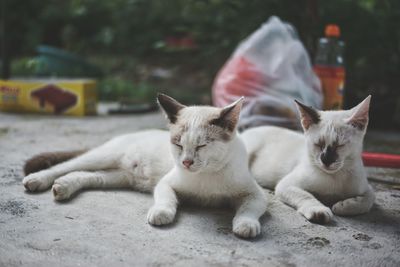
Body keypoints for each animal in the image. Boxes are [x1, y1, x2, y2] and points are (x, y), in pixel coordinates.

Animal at [241, 96, 376, 224]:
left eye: (339, 145)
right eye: (318, 145)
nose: (326, 160)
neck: (334, 177)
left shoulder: (366, 187)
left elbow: (368, 201)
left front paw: (344, 206)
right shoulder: (286, 185)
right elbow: (306, 196)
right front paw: (318, 211)